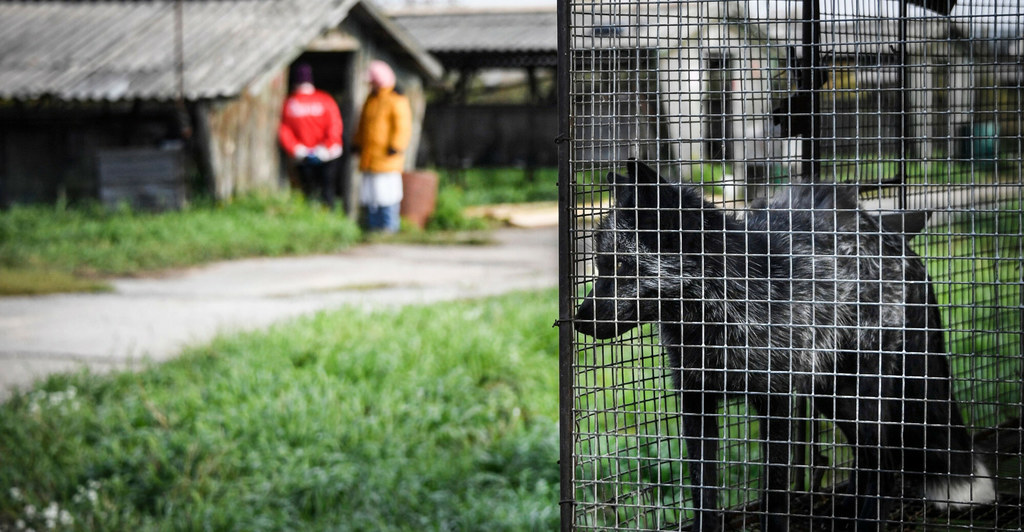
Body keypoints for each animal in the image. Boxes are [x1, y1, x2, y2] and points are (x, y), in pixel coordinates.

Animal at [573, 161, 995, 532]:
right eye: (600, 264)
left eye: (621, 265)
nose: (578, 323)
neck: (718, 315)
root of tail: (893, 237)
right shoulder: (696, 400)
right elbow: (703, 493)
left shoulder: (775, 399)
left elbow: (774, 496)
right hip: (833, 394)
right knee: (869, 463)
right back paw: (845, 512)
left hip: (862, 393)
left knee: (887, 466)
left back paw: (864, 521)